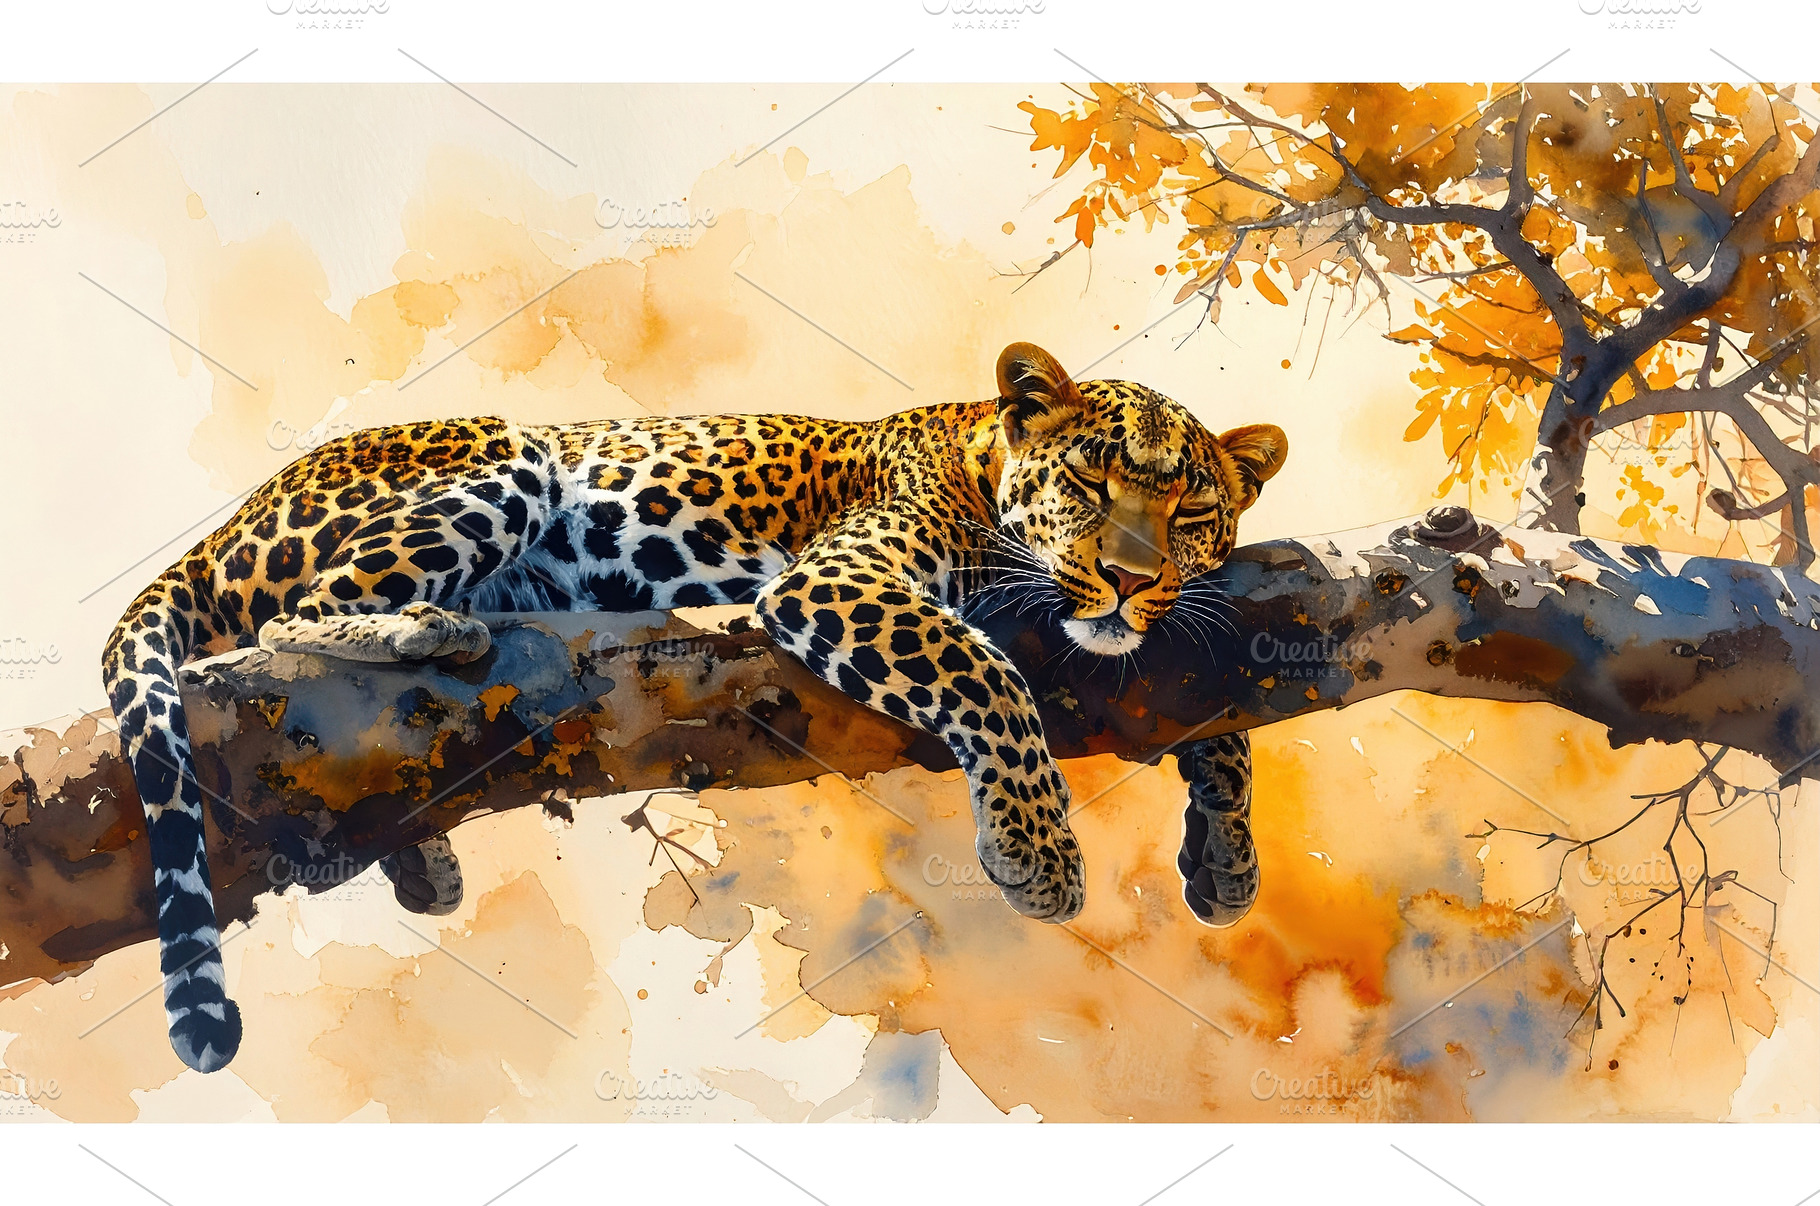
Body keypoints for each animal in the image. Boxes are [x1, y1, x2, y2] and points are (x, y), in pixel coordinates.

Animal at [102, 341, 1286, 1072]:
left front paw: (1225, 858)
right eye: (1086, 485)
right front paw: (1037, 852)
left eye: (1190, 509)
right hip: (500, 452)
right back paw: (424, 632)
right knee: (294, 618)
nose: (1128, 578)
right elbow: (986, 674)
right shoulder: (837, 579)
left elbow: (1210, 715)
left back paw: (418, 853)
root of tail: (232, 518)